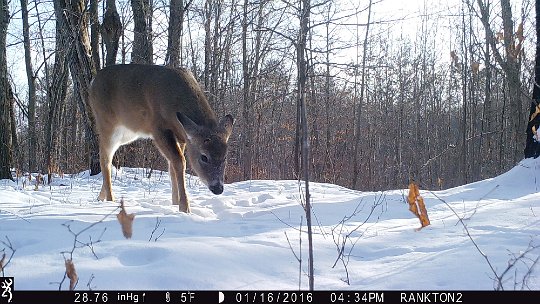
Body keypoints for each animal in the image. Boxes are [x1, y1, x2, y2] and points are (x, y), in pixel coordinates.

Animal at [87, 63, 233, 211]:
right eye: (204, 157)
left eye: (225, 157)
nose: (218, 188)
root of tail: (93, 82)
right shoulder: (159, 129)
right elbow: (180, 161)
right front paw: (184, 207)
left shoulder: (182, 136)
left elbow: (172, 165)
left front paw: (175, 202)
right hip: (107, 124)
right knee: (104, 158)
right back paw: (110, 199)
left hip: (126, 134)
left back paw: (100, 197)